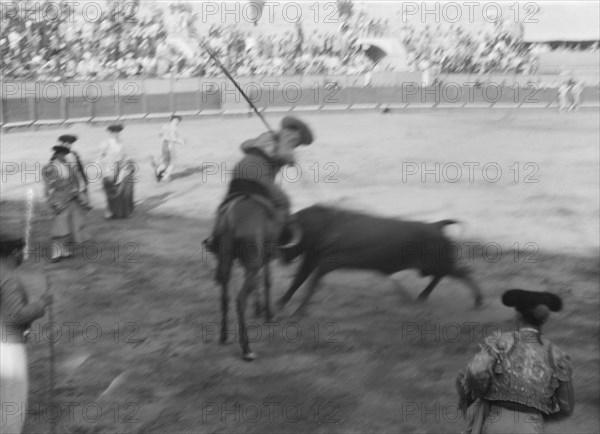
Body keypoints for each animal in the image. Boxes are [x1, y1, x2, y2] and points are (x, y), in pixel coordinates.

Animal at [276, 205, 482, 314]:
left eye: (285, 236)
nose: (280, 259)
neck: (326, 226)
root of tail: (436, 225)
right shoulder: (310, 260)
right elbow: (297, 281)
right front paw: (281, 304)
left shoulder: (326, 262)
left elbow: (311, 283)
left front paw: (299, 310)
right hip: (430, 267)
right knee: (444, 275)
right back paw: (422, 296)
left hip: (438, 263)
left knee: (462, 272)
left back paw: (478, 301)